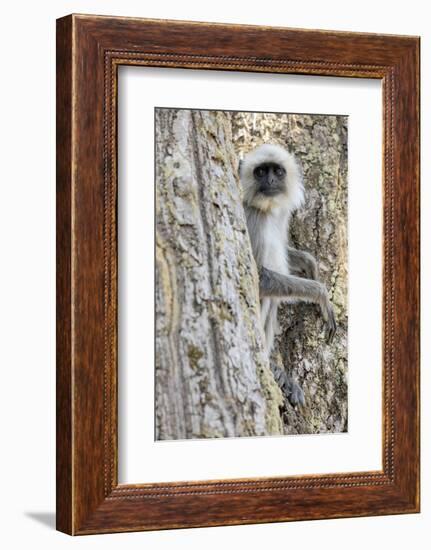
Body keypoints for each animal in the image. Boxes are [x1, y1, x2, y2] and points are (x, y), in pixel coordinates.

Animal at [240, 144, 338, 408]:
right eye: (261, 171)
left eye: (277, 171)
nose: (271, 180)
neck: (266, 211)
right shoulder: (251, 219)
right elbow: (260, 278)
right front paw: (320, 293)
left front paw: (310, 264)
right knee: (268, 294)